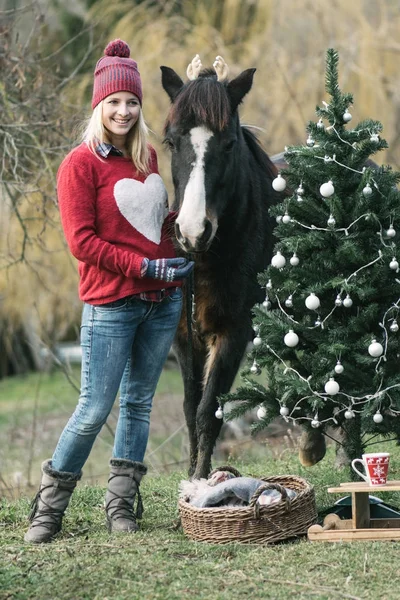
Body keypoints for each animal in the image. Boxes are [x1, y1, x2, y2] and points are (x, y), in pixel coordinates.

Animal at [161, 57, 280, 478]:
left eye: (228, 143)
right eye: (171, 141)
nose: (192, 232)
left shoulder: (233, 334)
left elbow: (207, 412)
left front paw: (200, 483)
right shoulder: (183, 339)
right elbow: (187, 408)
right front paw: (191, 476)